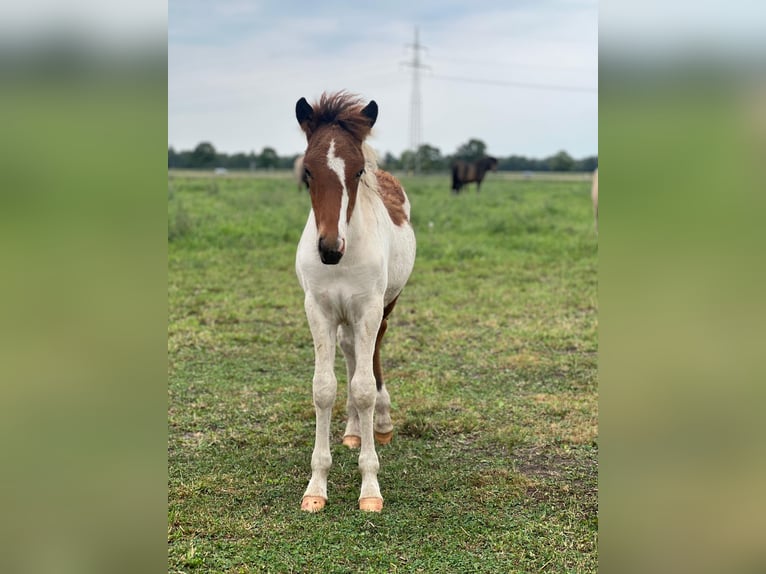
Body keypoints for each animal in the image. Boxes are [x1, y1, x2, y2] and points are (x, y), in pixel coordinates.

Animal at [294, 92, 416, 513]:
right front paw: (316, 487)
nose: (330, 249)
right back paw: (351, 430)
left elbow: (363, 388)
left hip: (385, 305)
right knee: (349, 352)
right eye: (307, 172)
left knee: (373, 354)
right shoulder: (319, 309)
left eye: (358, 171)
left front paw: (370, 488)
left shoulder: (367, 309)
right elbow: (324, 388)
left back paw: (380, 422)